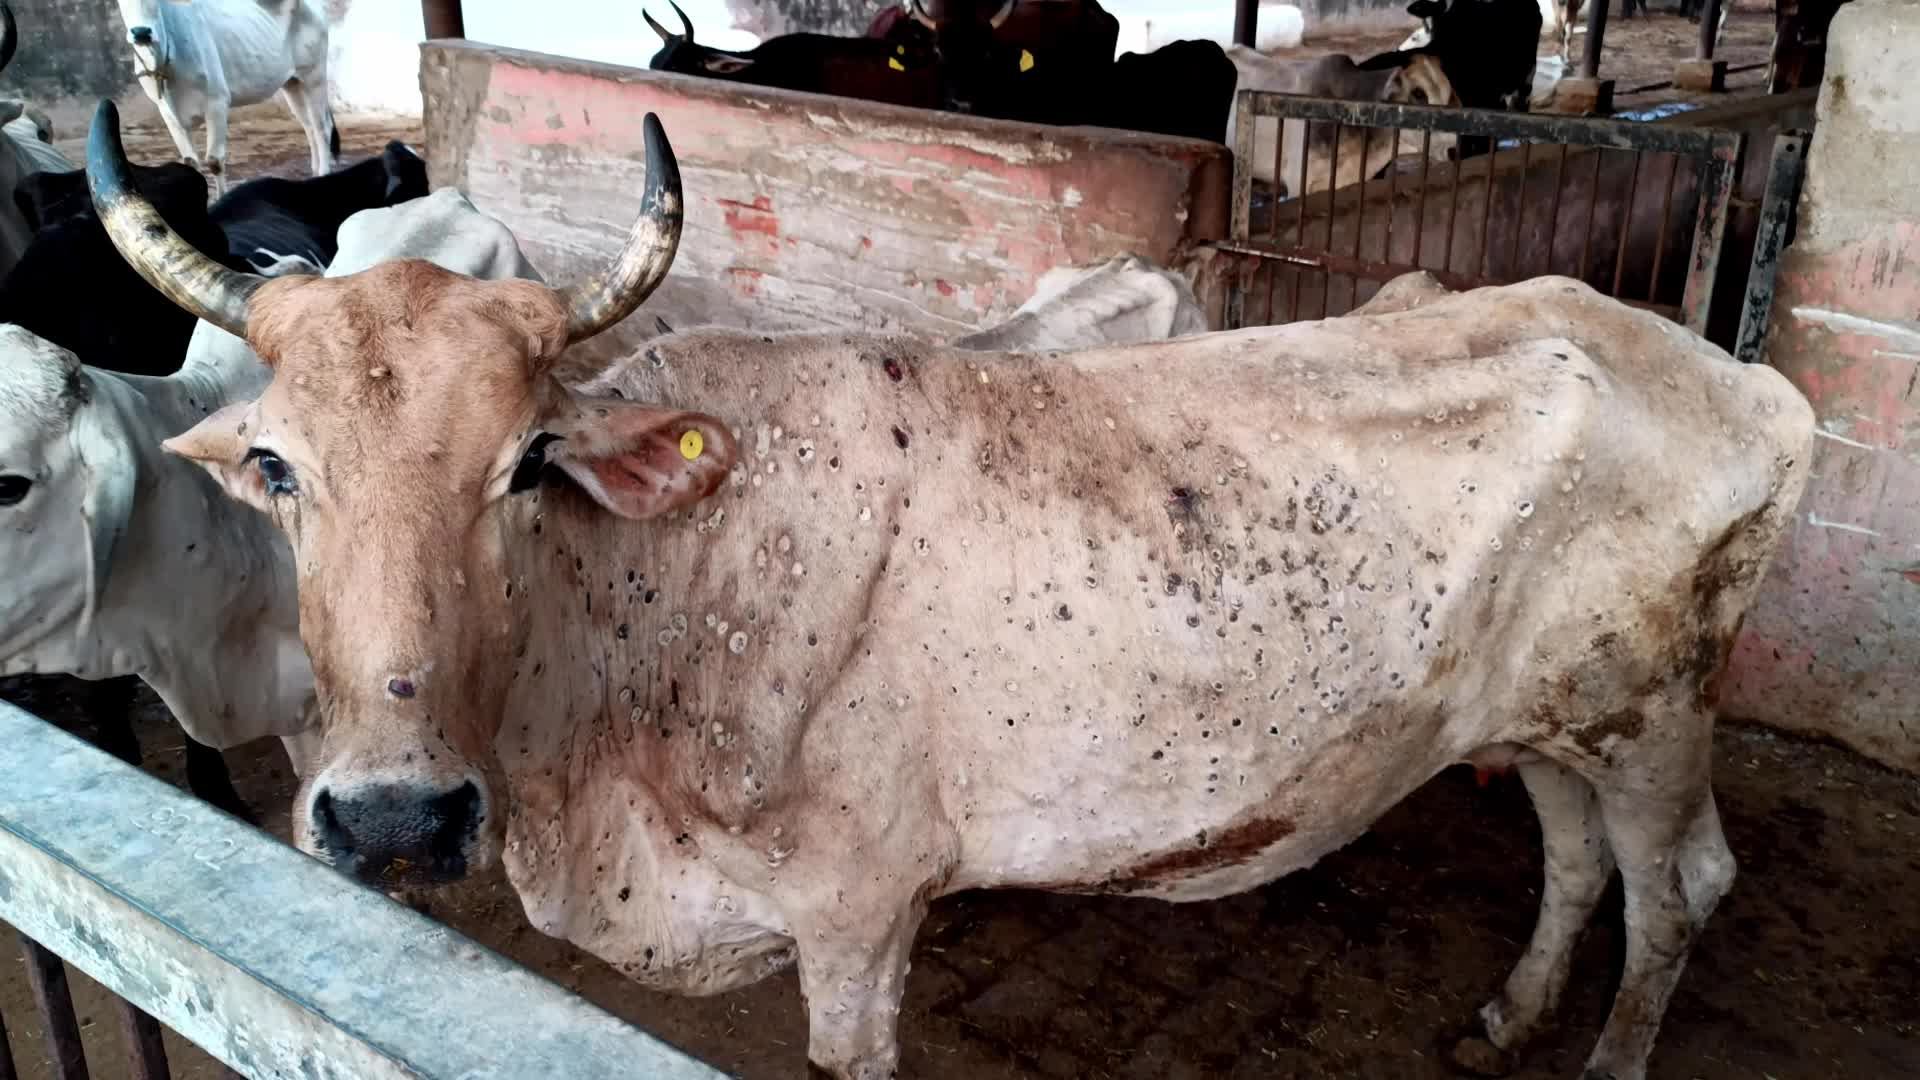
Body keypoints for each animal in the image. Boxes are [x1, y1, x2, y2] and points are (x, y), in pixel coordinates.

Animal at [113, 0, 336, 196]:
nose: (141, 32)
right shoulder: (167, 113)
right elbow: (190, 163)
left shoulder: (217, 103)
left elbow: (214, 161)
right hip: (292, 84)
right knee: (308, 126)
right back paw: (314, 172)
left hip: (314, 76)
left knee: (322, 127)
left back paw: (323, 172)